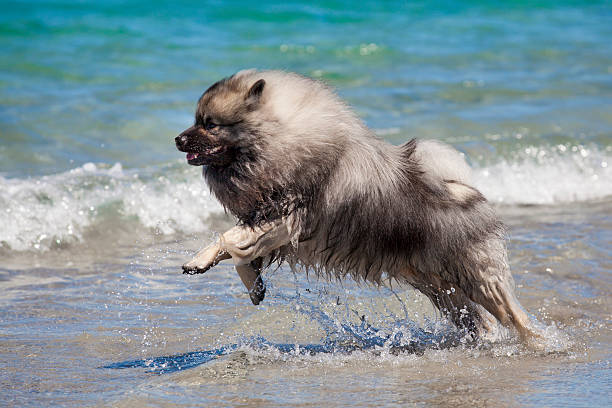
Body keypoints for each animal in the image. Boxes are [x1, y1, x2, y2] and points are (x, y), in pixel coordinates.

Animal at [175, 70, 536, 342]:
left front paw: (198, 260)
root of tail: (467, 191)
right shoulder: (268, 223)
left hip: (477, 279)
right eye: (196, 120)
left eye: (210, 124)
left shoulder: (286, 217)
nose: (178, 139)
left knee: (515, 316)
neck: (283, 137)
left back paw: (536, 344)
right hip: (440, 288)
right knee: (480, 321)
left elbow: (229, 238)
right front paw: (253, 286)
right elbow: (240, 252)